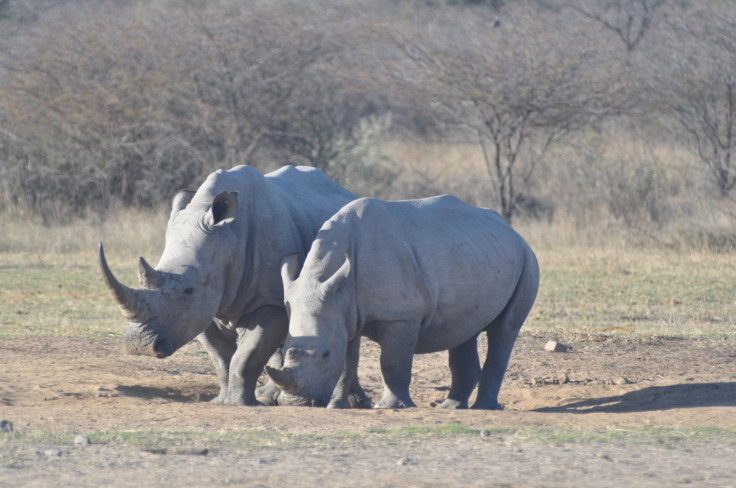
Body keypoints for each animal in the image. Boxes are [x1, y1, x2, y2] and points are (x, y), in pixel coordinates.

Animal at [98, 166, 370, 406]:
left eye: (188, 290)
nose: (140, 346)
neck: (226, 239)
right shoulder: (200, 309)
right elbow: (221, 357)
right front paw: (222, 401)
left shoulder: (267, 301)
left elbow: (246, 355)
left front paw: (240, 403)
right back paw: (270, 397)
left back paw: (351, 402)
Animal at [268, 194, 536, 408]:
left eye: (324, 354)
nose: (296, 403)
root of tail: (511, 230)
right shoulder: (343, 311)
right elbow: (346, 364)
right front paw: (336, 407)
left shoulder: (400, 315)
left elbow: (392, 363)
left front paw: (390, 407)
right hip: (477, 254)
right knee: (464, 329)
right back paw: (450, 407)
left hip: (526, 258)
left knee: (505, 330)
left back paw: (484, 408)